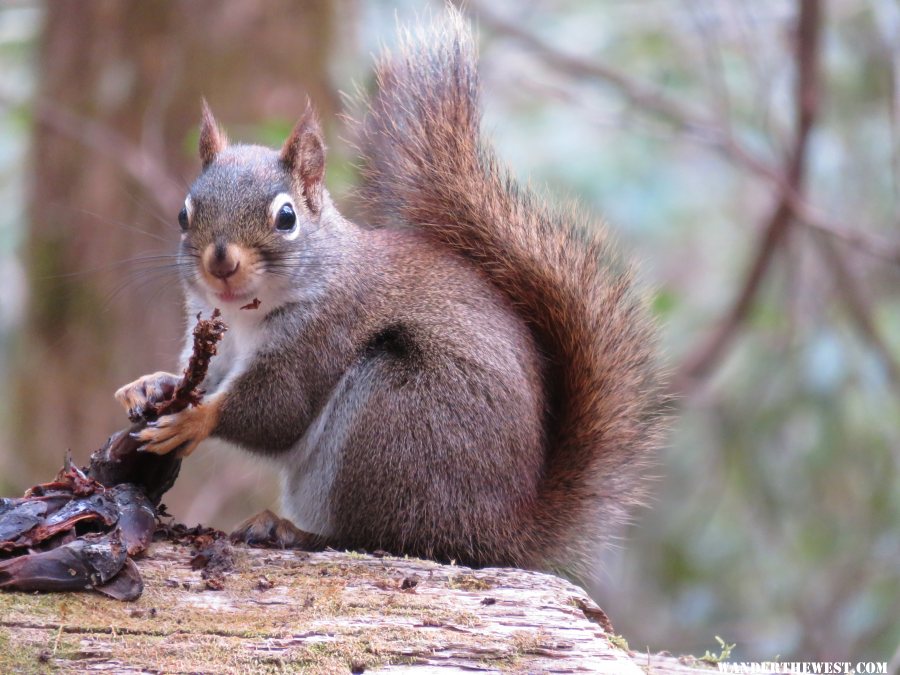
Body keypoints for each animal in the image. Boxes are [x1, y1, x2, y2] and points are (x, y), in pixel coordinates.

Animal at [112, 10, 664, 572]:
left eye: (286, 217)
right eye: (184, 214)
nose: (220, 261)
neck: (246, 314)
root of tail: (501, 532)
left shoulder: (324, 333)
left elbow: (279, 409)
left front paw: (194, 420)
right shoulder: (216, 341)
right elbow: (201, 375)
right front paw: (149, 386)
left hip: (394, 419)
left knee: (378, 535)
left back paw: (291, 530)